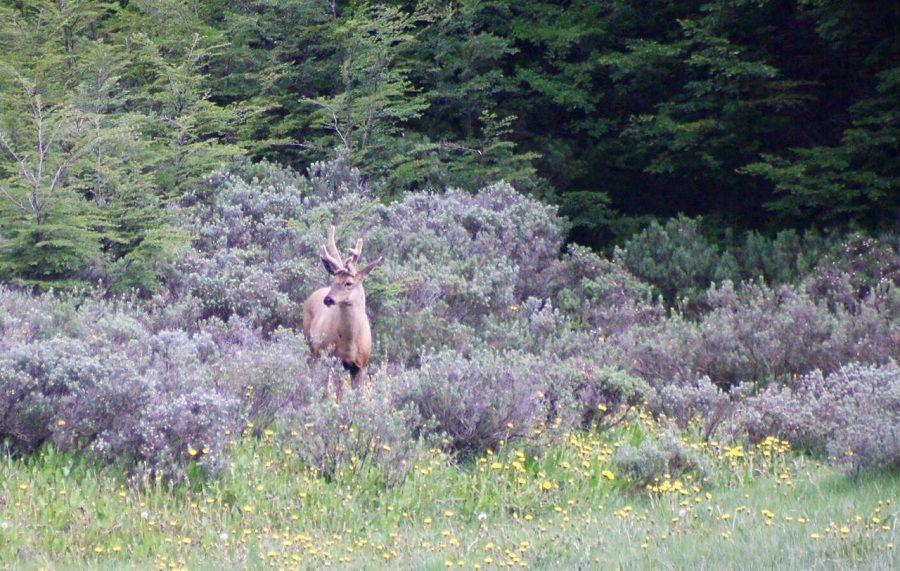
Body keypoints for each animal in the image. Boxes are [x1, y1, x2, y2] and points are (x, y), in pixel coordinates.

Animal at [304, 225, 382, 398]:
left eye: (349, 283)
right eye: (333, 280)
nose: (328, 299)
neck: (350, 343)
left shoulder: (361, 365)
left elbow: (358, 395)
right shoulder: (336, 360)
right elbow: (339, 394)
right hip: (313, 346)